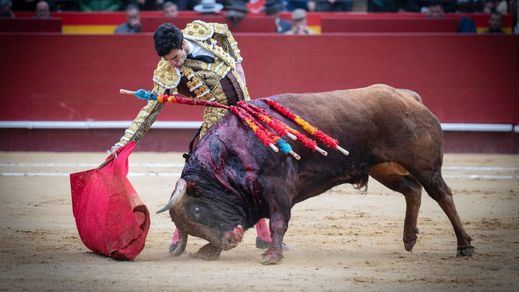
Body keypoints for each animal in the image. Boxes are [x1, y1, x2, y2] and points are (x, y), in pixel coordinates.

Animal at [158, 84, 476, 264]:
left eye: (197, 211)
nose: (228, 242)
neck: (233, 153)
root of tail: (408, 97)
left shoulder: (278, 187)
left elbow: (278, 221)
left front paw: (272, 255)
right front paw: (209, 251)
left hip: (424, 164)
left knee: (442, 194)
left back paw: (464, 246)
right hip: (383, 167)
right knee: (412, 189)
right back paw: (409, 238)